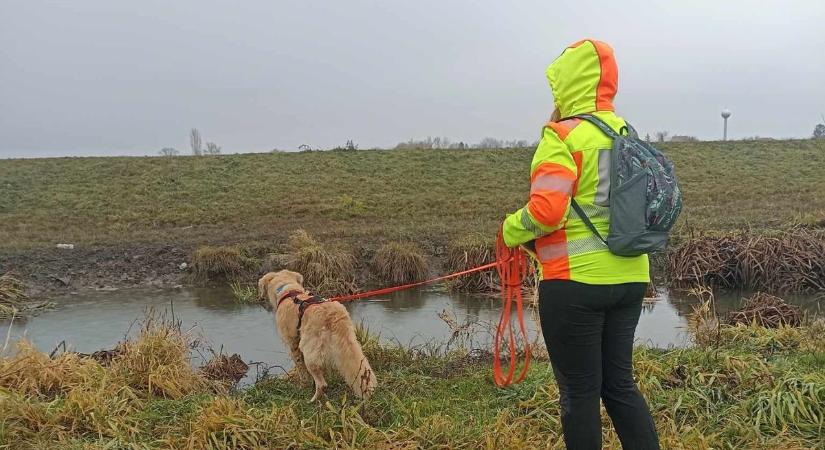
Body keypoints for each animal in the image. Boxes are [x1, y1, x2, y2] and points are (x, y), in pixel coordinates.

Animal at [258, 270, 376, 400]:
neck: (288, 291)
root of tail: (332, 315)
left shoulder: (293, 344)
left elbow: (301, 369)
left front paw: (303, 385)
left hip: (309, 351)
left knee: (322, 383)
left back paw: (313, 399)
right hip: (349, 343)